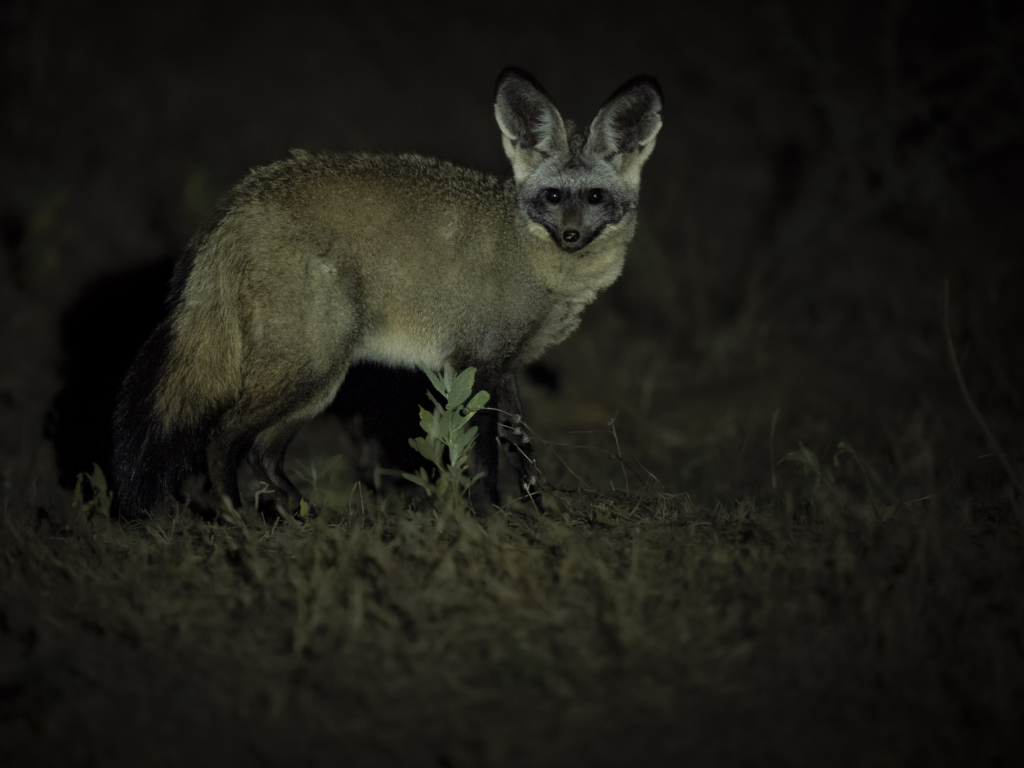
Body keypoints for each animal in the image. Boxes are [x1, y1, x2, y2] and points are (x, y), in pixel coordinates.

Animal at [114, 69, 663, 520]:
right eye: (552, 197)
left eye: (594, 197)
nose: (571, 236)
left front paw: (539, 510)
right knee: (221, 442)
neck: (538, 265)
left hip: (313, 385)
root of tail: (236, 202)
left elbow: (522, 448)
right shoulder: (478, 362)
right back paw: (238, 523)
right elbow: (484, 458)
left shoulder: (503, 366)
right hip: (312, 371)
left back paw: (306, 517)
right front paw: (492, 519)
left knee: (262, 452)